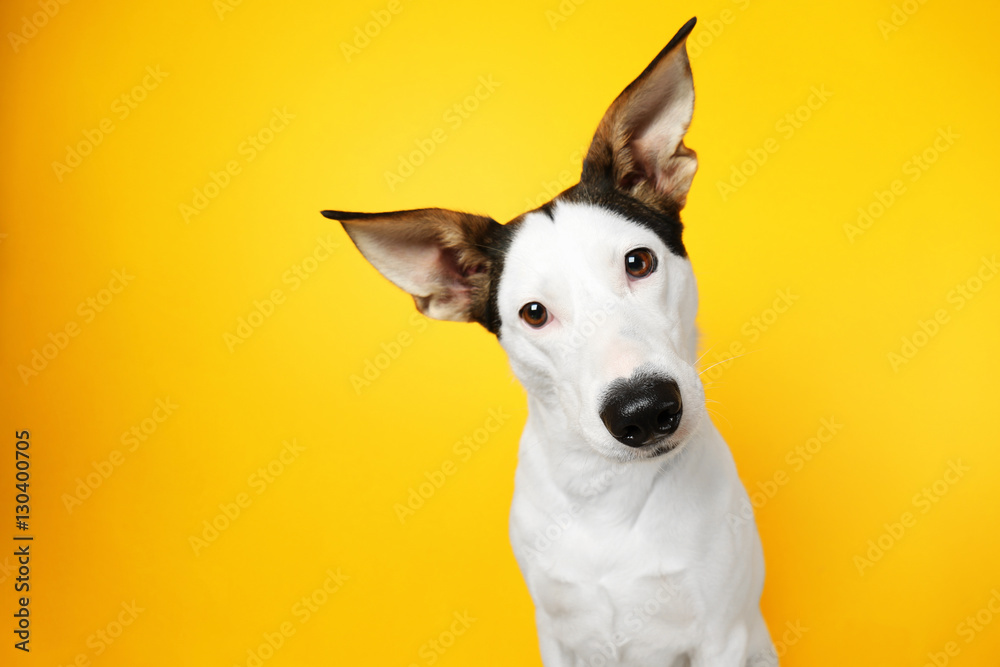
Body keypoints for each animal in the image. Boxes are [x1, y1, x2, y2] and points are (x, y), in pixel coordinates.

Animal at [324, 17, 776, 667]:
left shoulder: (724, 636)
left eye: (639, 262)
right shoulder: (558, 634)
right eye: (534, 313)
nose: (644, 410)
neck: (610, 494)